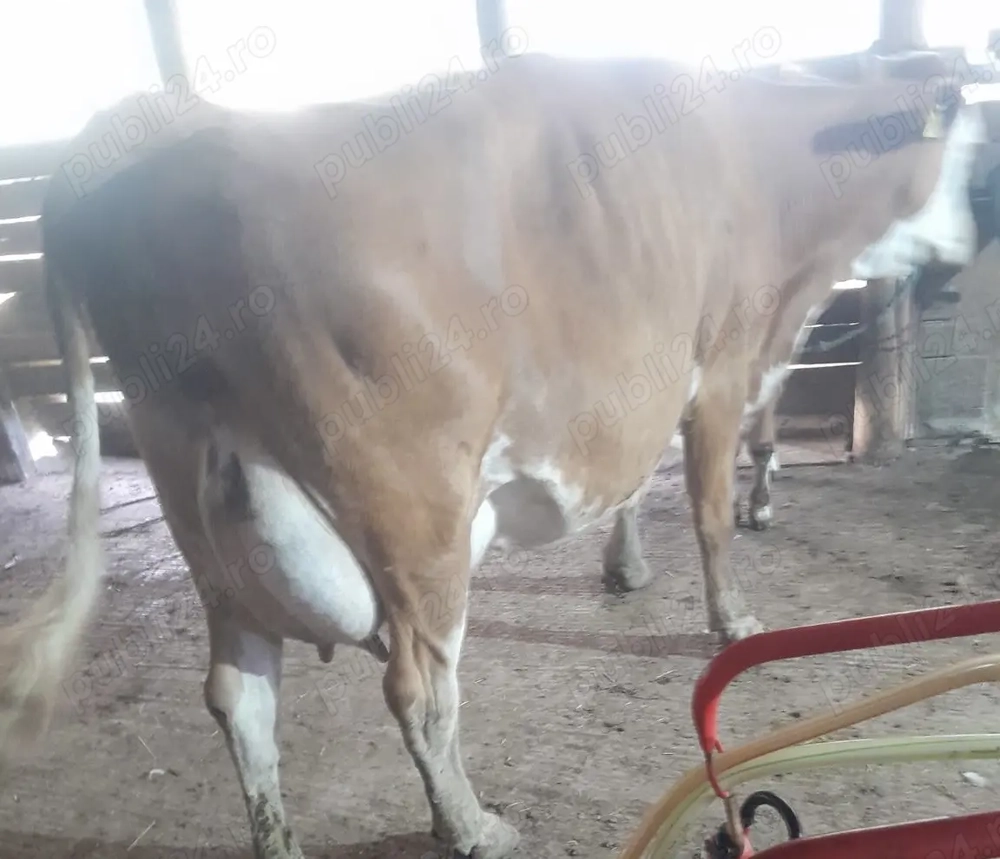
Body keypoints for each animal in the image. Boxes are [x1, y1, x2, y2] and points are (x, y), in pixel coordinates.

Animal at [0, 49, 984, 859]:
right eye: (977, 152)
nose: (970, 255)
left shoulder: (639, 383)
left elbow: (632, 481)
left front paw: (626, 566)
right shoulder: (724, 356)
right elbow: (708, 507)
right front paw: (733, 617)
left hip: (204, 516)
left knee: (241, 696)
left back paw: (285, 838)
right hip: (414, 508)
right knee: (418, 689)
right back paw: (472, 825)